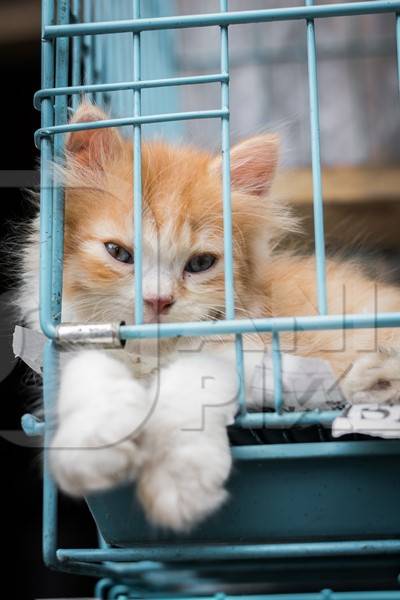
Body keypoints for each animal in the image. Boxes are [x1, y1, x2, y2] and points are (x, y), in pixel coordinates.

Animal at [18, 103, 400, 528]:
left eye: (200, 263)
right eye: (119, 253)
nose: (158, 300)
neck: (152, 356)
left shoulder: (257, 354)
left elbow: (189, 383)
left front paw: (180, 484)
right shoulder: (72, 340)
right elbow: (91, 371)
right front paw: (95, 444)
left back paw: (377, 377)